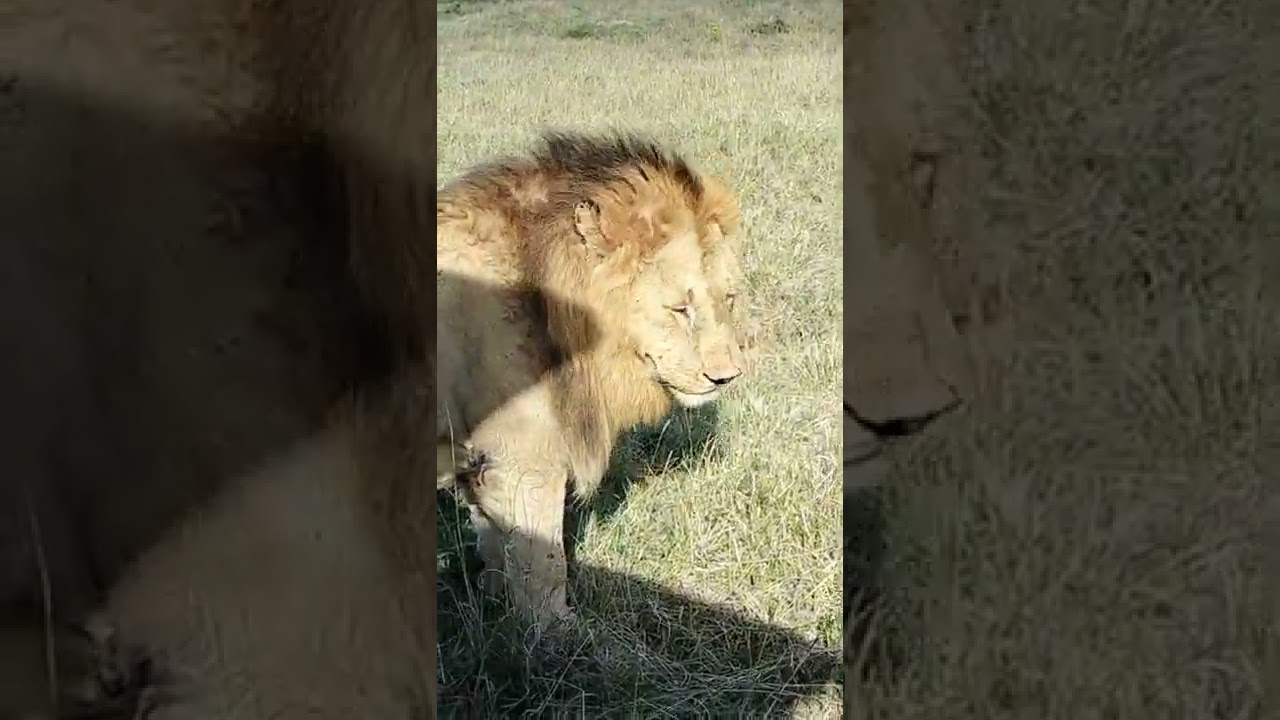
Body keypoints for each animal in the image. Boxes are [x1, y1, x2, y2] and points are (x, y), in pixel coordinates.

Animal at [436, 131, 751, 623]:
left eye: (729, 299)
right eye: (680, 309)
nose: (726, 377)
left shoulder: (481, 461)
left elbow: (494, 544)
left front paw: (495, 607)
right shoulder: (523, 458)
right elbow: (543, 561)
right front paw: (556, 630)